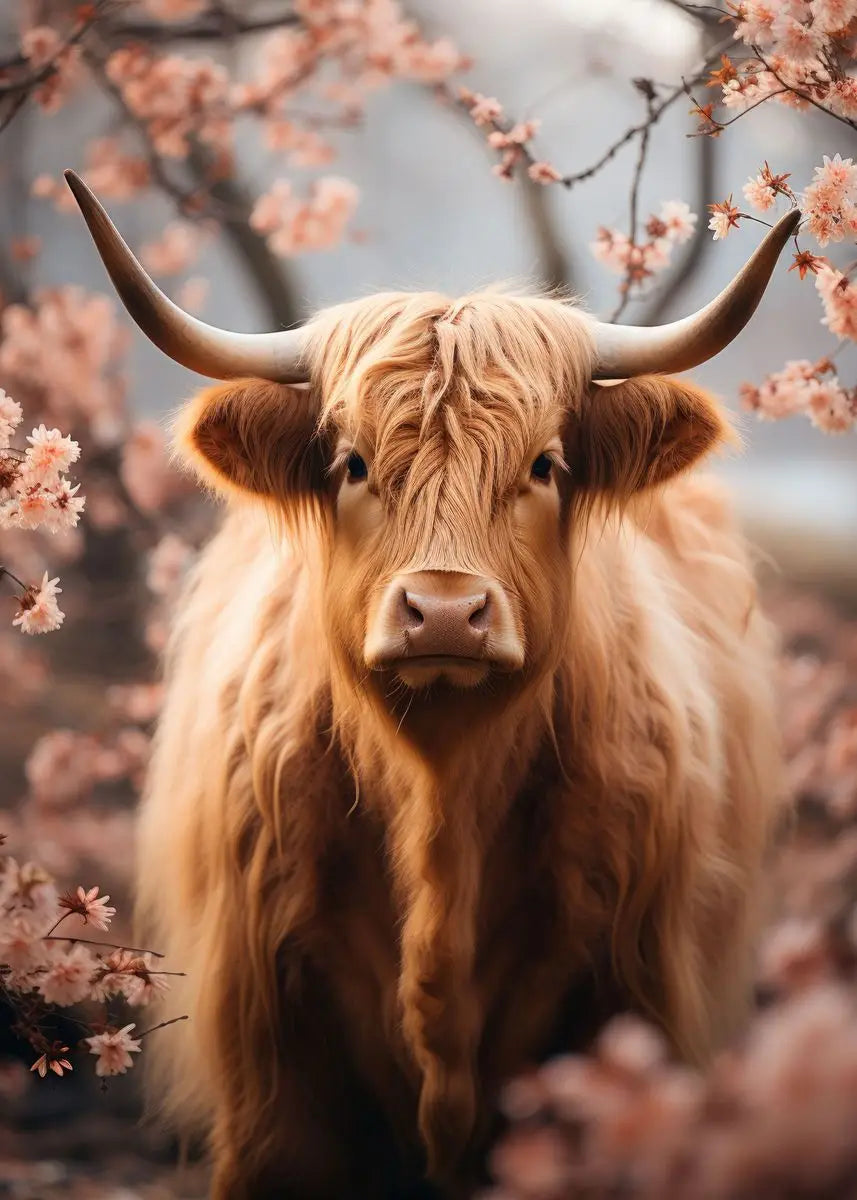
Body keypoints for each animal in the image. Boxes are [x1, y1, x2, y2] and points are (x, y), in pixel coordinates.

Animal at [67, 171, 793, 1200]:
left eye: (543, 465)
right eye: (353, 464)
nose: (445, 612)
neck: (440, 799)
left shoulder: (631, 992)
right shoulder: (271, 1051)